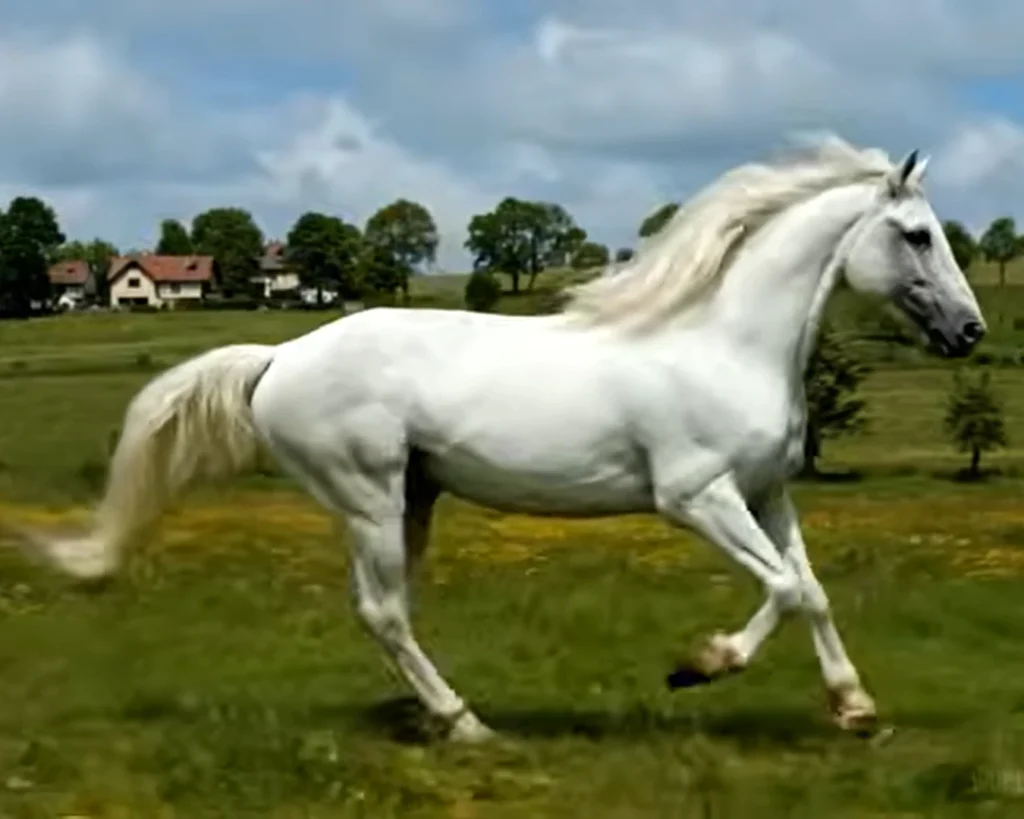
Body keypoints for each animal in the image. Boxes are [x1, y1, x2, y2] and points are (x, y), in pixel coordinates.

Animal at [14, 136, 985, 744]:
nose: (970, 331)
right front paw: (697, 666)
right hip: (368, 493)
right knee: (383, 610)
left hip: (410, 494)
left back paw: (435, 715)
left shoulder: (767, 492)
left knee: (386, 610)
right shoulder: (696, 496)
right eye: (916, 235)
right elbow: (782, 588)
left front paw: (855, 709)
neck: (725, 341)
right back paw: (467, 724)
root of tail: (280, 356)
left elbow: (810, 589)